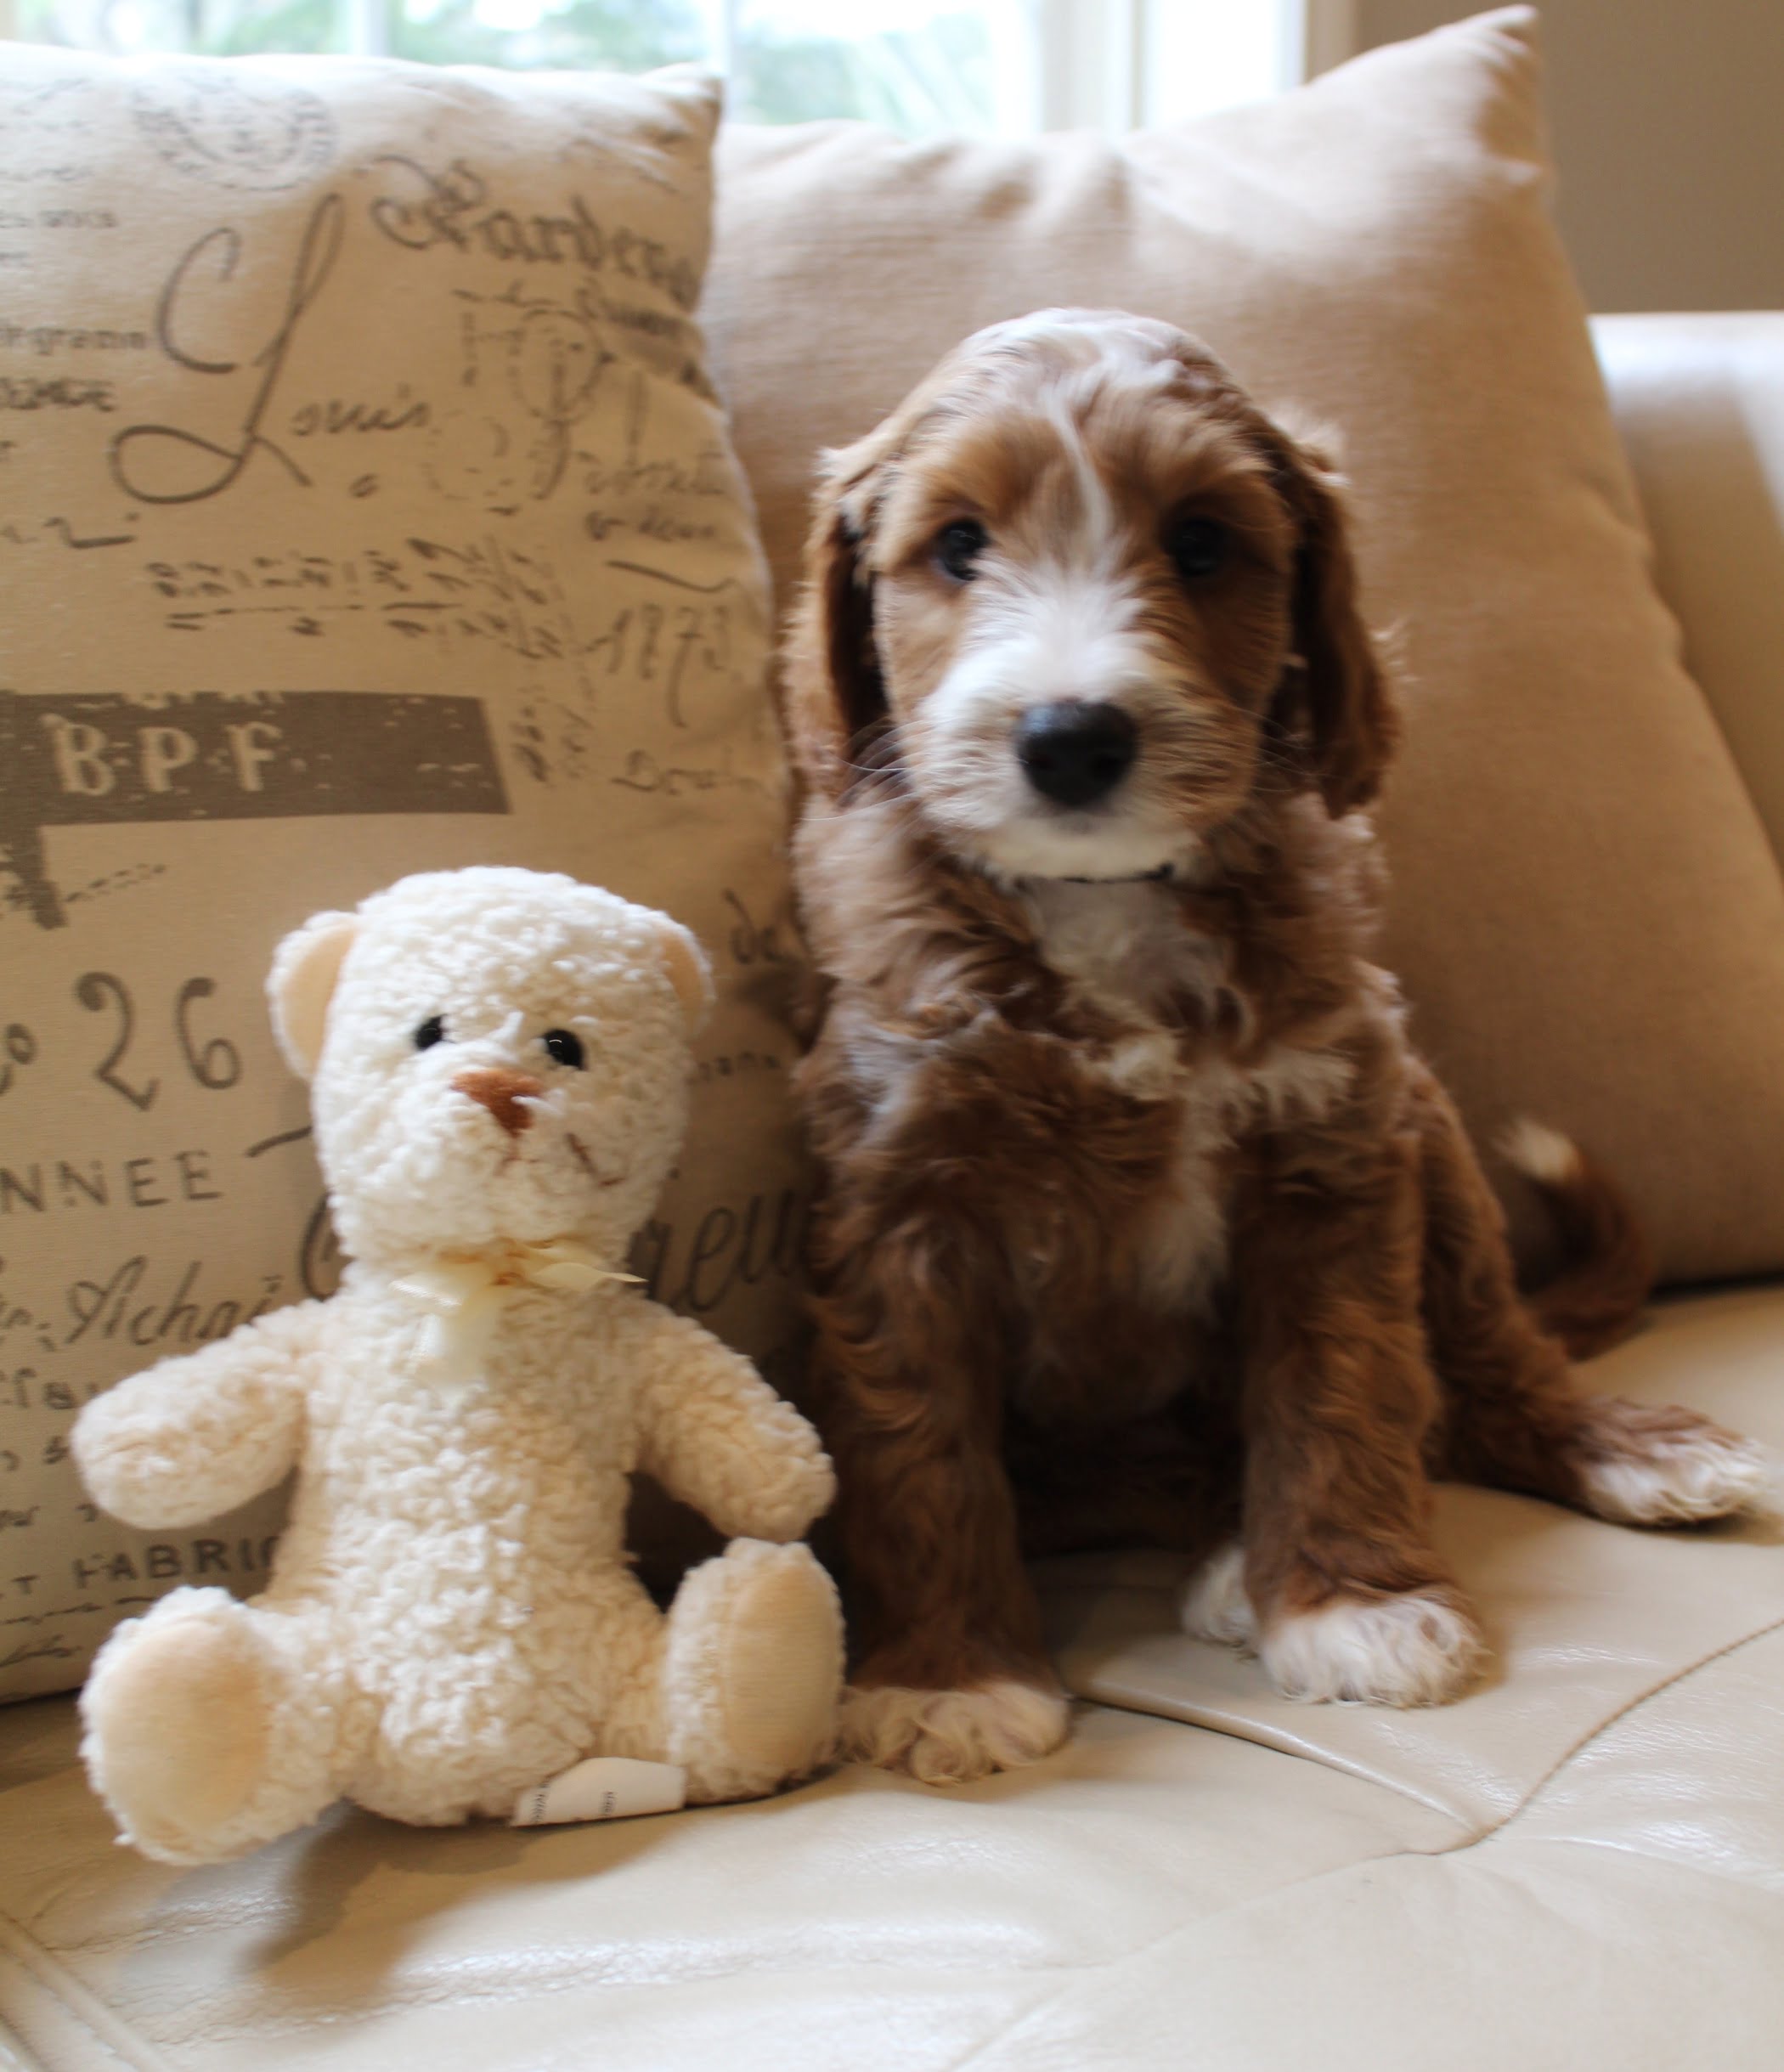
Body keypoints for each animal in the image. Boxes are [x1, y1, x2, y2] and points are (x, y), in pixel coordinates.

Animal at [778, 308, 1770, 1787]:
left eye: (1201, 542)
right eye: (957, 544)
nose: (1072, 736)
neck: (1106, 905)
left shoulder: (1331, 1148)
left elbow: (1342, 1385)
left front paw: (1356, 1602)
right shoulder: (904, 1195)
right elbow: (921, 1448)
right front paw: (950, 1676)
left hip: (1432, 1134)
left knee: (1489, 1355)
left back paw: (1612, 1450)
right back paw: (1220, 1553)